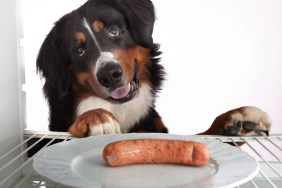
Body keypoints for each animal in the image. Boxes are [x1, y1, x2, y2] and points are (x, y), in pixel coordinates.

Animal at [35, 0, 270, 138]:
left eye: (114, 30)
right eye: (78, 51)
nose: (109, 75)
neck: (121, 109)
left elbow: (205, 134)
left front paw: (237, 117)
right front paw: (95, 117)